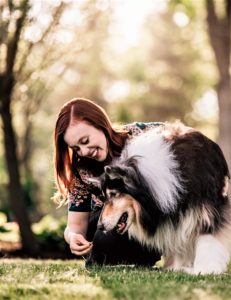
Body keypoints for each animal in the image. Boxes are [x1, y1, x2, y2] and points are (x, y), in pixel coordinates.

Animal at [97, 122, 231, 274]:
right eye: (104, 197)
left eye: (113, 194)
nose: (99, 226)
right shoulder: (176, 213)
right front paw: (178, 267)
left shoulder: (208, 211)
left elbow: (208, 239)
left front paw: (204, 269)